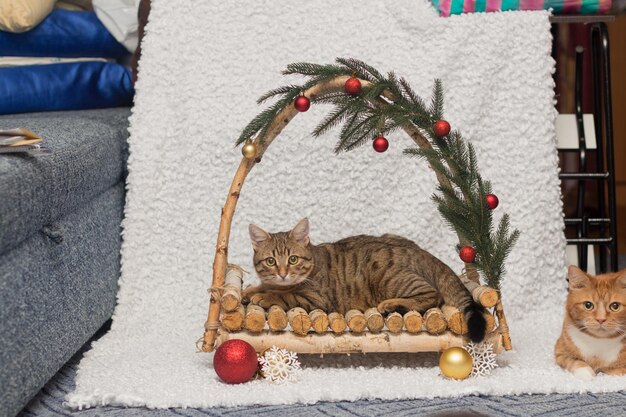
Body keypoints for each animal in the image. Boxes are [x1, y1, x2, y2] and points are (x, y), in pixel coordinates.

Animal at [241, 218, 486, 342]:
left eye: (292, 259)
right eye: (271, 261)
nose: (283, 272)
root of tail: (422, 252)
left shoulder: (317, 298)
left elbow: (285, 295)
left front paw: (265, 296)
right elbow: (262, 286)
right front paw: (248, 292)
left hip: (387, 277)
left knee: (432, 295)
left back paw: (393, 305)